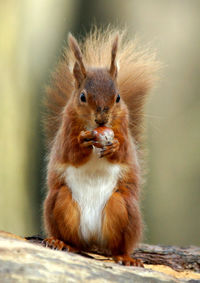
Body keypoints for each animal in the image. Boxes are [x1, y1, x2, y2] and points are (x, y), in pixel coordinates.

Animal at [42, 27, 159, 268]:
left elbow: (123, 152)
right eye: (82, 97)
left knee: (116, 247)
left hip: (123, 208)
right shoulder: (66, 130)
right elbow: (69, 152)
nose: (101, 119)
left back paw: (125, 257)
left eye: (118, 97)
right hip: (60, 203)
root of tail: (93, 240)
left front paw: (114, 146)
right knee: (75, 242)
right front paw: (81, 142)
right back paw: (61, 242)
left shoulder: (124, 129)